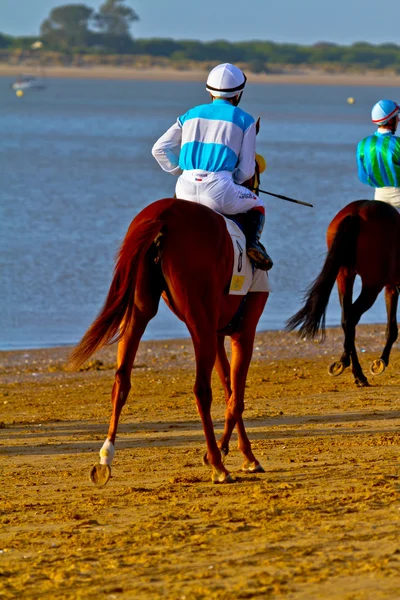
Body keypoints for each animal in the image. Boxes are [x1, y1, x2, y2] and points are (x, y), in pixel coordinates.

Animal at [69, 185, 268, 486]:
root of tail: (163, 216)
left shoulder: (217, 333)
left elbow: (229, 389)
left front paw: (242, 454)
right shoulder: (243, 332)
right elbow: (236, 397)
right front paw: (231, 454)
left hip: (141, 312)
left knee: (122, 379)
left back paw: (105, 458)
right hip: (199, 322)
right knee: (201, 389)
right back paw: (218, 466)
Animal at [286, 199, 400, 386]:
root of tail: (357, 211)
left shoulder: (391, 286)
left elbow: (391, 326)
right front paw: (381, 362)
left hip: (344, 275)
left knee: (346, 319)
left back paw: (353, 370)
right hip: (372, 284)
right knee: (352, 316)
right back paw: (353, 369)